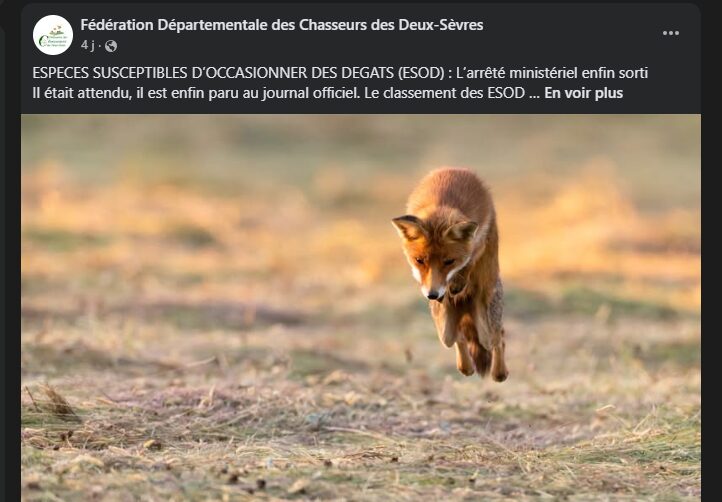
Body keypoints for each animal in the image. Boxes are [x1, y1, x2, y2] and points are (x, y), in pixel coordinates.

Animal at [392, 167, 508, 382]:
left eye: (449, 261)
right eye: (419, 261)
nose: (432, 294)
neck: (442, 198)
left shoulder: (479, 238)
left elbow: (470, 260)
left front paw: (458, 281)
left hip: (486, 329)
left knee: (499, 338)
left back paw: (499, 373)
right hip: (444, 330)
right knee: (458, 338)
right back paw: (466, 367)